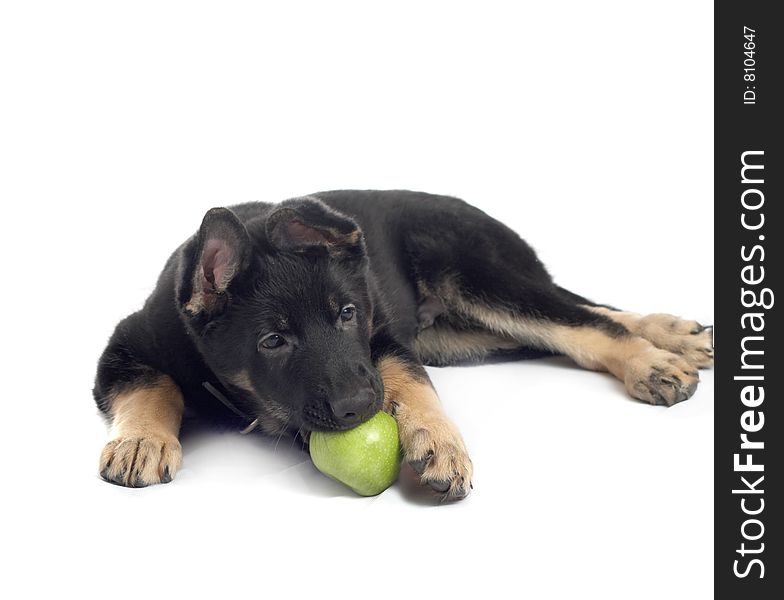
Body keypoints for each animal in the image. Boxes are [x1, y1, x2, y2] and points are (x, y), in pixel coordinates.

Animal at [95, 190, 712, 500]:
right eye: (272, 341)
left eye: (347, 314)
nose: (356, 409)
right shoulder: (125, 344)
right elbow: (151, 383)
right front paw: (142, 439)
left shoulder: (383, 337)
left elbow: (409, 382)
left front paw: (438, 443)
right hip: (468, 334)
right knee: (582, 318)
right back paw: (675, 336)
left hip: (479, 279)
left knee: (582, 320)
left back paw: (656, 359)